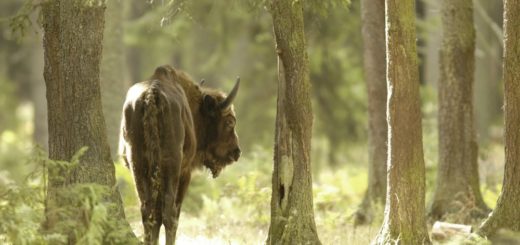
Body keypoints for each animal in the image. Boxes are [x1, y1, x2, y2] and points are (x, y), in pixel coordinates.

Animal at [119, 64, 241, 244]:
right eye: (230, 121)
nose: (236, 152)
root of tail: (152, 95)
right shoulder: (185, 173)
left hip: (138, 166)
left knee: (148, 212)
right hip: (171, 168)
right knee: (169, 215)